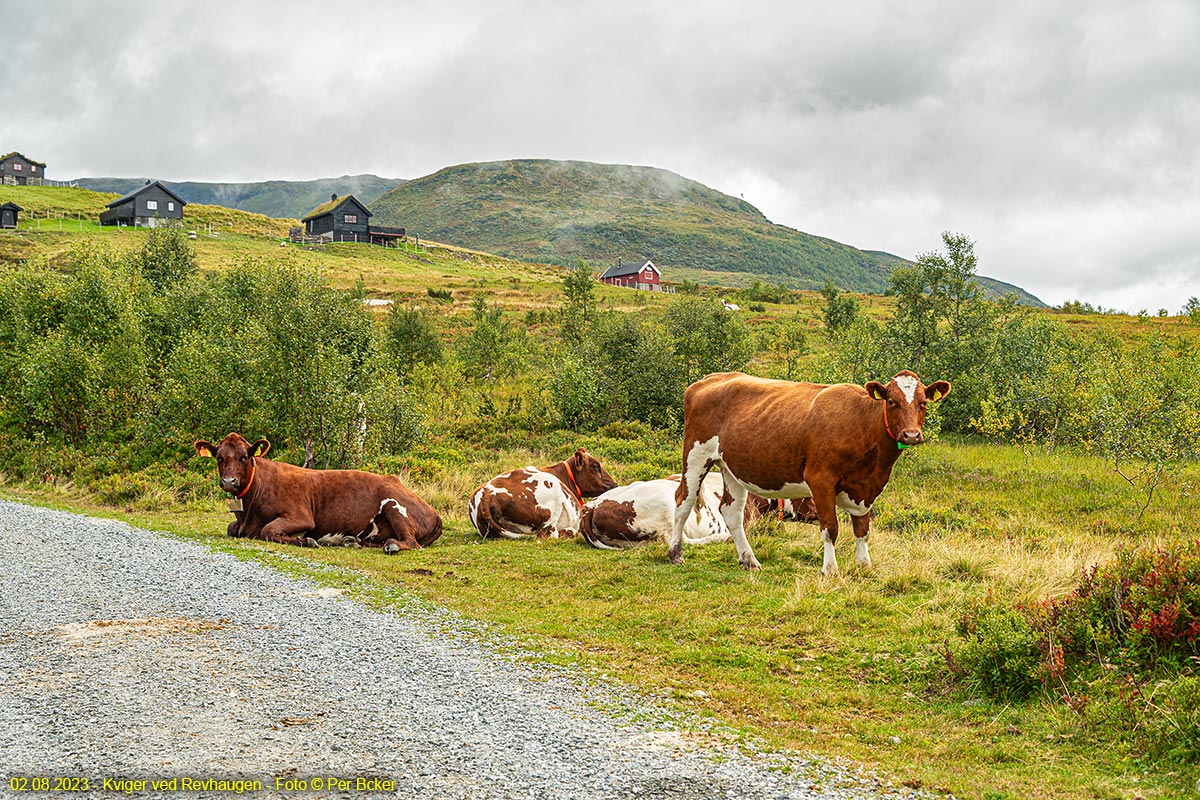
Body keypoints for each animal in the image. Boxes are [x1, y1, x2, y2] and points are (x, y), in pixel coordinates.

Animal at [194, 434, 444, 554]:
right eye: (219, 458)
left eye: (244, 457)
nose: (229, 481)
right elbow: (231, 528)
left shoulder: (301, 516)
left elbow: (268, 530)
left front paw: (307, 541)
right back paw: (352, 541)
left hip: (394, 506)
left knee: (410, 542)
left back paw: (390, 545)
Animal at [667, 371, 945, 573]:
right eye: (891, 401)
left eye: (923, 403)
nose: (911, 435)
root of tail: (708, 379)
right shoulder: (821, 480)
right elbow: (831, 528)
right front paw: (830, 569)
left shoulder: (866, 488)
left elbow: (862, 528)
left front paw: (864, 565)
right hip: (696, 455)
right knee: (683, 500)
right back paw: (675, 553)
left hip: (731, 466)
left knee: (731, 511)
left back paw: (749, 559)